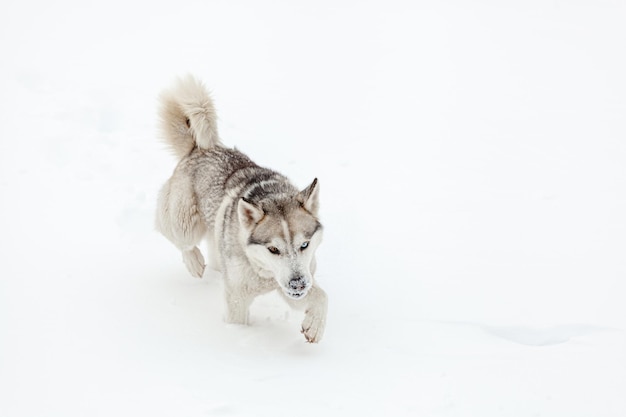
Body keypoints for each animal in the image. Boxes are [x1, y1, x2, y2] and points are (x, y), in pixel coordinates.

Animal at [155, 76, 326, 342]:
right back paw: (194, 262)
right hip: (185, 224)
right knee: (173, 234)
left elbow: (322, 297)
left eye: (304, 245)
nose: (298, 285)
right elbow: (237, 324)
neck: (263, 273)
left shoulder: (293, 282)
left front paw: (314, 327)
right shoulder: (237, 297)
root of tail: (200, 148)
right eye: (273, 249)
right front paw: (239, 341)